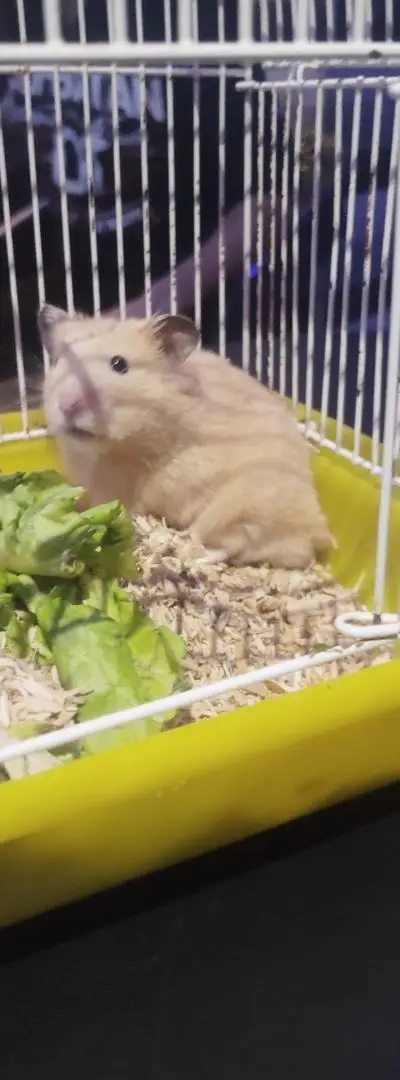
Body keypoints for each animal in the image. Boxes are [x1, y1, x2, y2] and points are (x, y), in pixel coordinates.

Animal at [38, 303, 333, 569]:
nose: (67, 405)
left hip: (240, 505)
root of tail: (316, 531)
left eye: (119, 364)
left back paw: (186, 554)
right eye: (59, 360)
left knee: (226, 544)